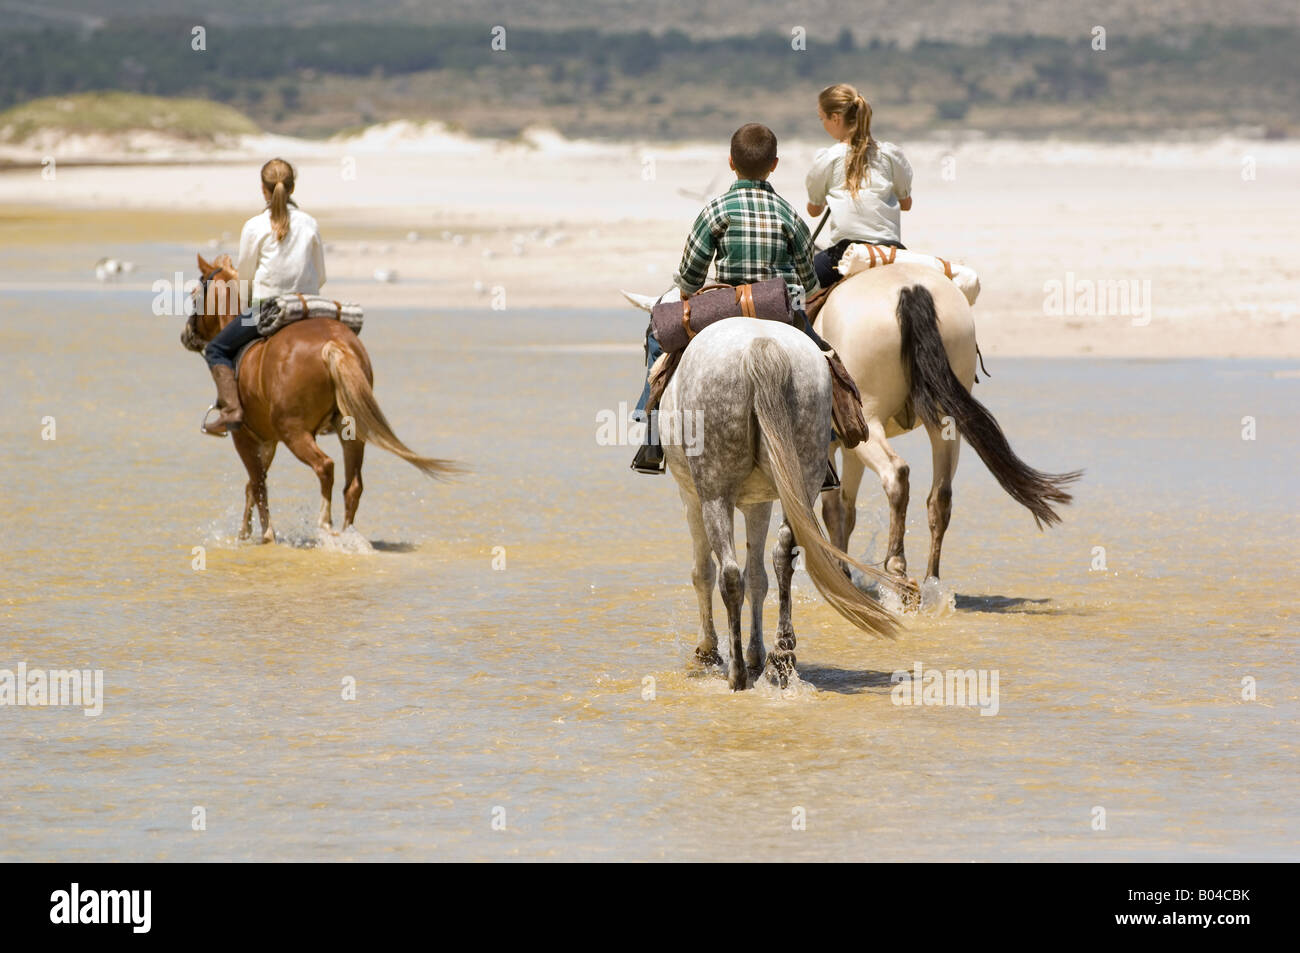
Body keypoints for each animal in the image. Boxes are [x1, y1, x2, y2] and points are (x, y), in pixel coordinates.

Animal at [187, 250, 462, 543]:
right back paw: (346, 533)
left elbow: (258, 484)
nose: (186, 334)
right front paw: (245, 533)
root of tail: (333, 343)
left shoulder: (243, 436)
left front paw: (266, 535)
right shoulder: (268, 441)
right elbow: (253, 484)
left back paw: (325, 524)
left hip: (294, 432)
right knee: (353, 485)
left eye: (194, 294)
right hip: (350, 432)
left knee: (325, 466)